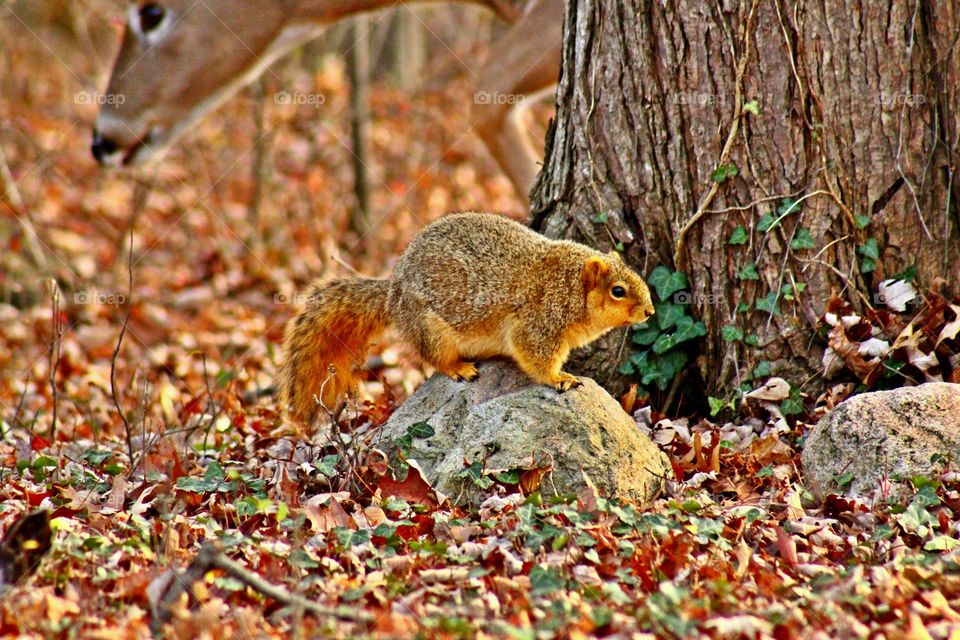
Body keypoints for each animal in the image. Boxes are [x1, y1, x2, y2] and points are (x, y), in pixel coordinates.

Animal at [278, 212, 654, 423]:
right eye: (618, 291)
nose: (650, 311)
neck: (569, 286)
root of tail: (394, 294)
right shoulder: (537, 322)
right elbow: (535, 357)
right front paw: (560, 377)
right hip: (431, 329)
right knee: (434, 357)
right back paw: (458, 368)